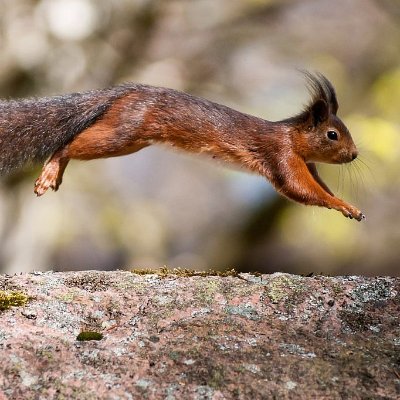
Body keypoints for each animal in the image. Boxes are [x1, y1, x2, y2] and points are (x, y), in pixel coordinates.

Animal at [0, 73, 366, 220]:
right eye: (333, 135)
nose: (354, 155)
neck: (292, 137)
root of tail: (123, 93)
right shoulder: (281, 155)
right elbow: (299, 188)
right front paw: (343, 207)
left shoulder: (309, 165)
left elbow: (316, 186)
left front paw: (347, 203)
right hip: (122, 133)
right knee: (67, 145)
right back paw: (50, 170)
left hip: (129, 140)